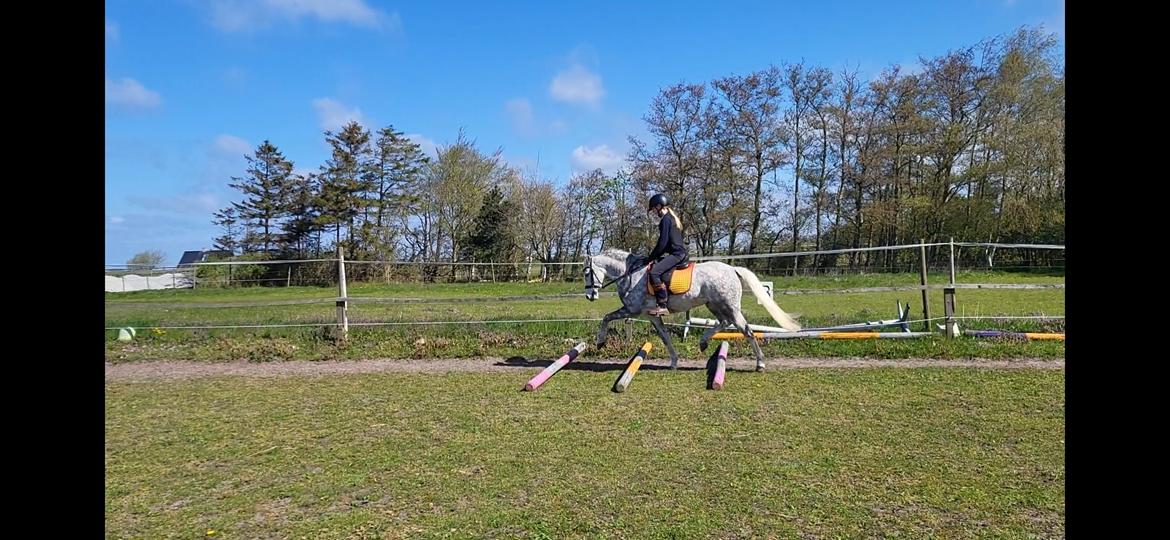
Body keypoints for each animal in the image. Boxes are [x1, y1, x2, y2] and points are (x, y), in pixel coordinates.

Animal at [582, 248, 801, 371]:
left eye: (586, 272)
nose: (590, 296)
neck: (630, 274)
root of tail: (732, 269)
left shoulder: (632, 310)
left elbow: (606, 317)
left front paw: (600, 342)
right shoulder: (651, 316)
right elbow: (664, 336)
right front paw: (674, 362)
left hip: (729, 306)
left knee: (745, 330)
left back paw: (760, 364)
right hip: (714, 305)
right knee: (725, 322)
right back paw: (703, 341)